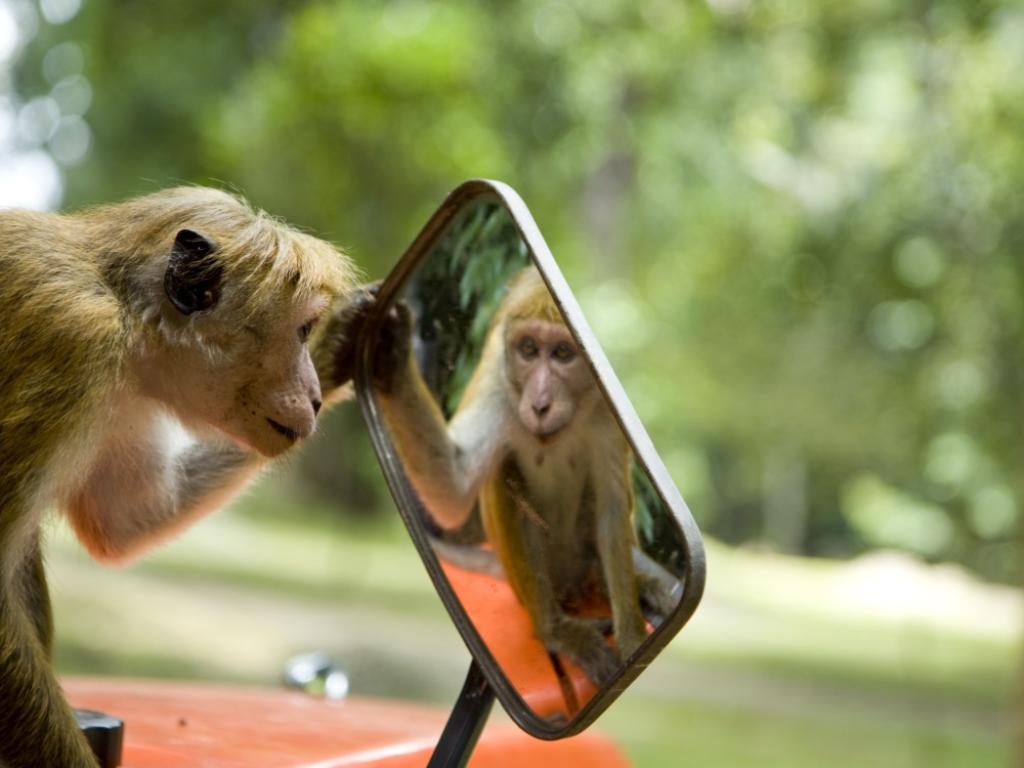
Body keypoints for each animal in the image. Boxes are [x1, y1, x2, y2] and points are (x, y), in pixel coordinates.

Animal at [0, 186, 372, 768]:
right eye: (301, 329)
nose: (313, 397)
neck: (128, 313)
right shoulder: (73, 342)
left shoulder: (125, 394)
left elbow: (126, 520)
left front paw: (344, 346)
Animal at [376, 266, 655, 684]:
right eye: (528, 350)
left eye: (562, 353)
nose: (539, 403)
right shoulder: (497, 380)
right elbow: (455, 485)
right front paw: (391, 354)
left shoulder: (608, 415)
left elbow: (610, 510)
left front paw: (634, 639)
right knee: (503, 474)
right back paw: (556, 630)